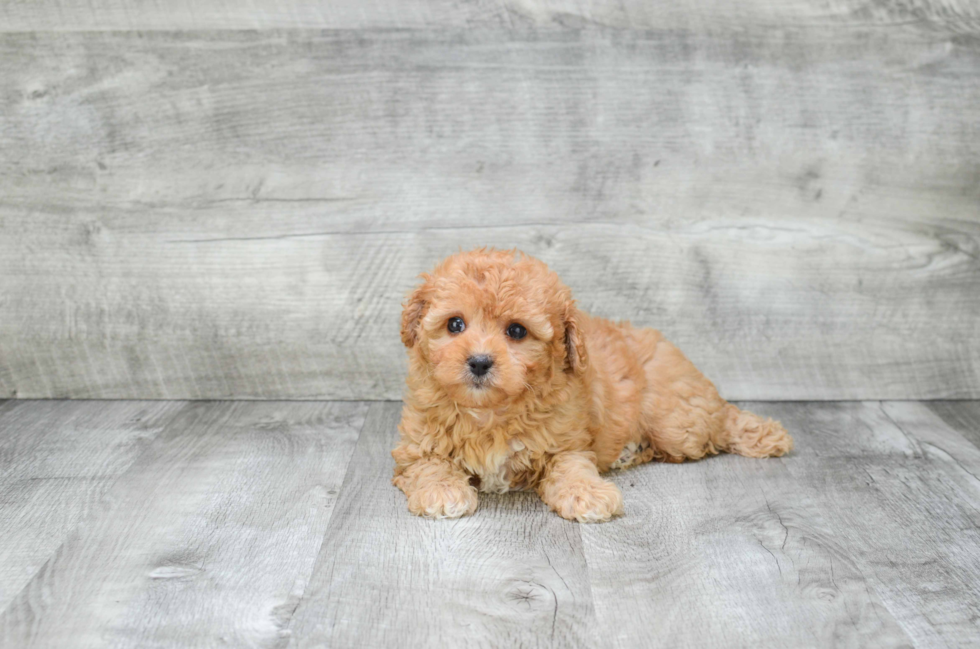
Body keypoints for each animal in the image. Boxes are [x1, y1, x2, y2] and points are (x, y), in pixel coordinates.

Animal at [390, 248, 788, 520]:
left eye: (516, 331)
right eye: (455, 324)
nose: (479, 362)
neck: (490, 412)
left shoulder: (566, 441)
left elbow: (572, 467)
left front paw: (587, 495)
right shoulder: (417, 446)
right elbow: (429, 464)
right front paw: (442, 492)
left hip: (677, 421)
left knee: (720, 422)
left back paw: (764, 434)